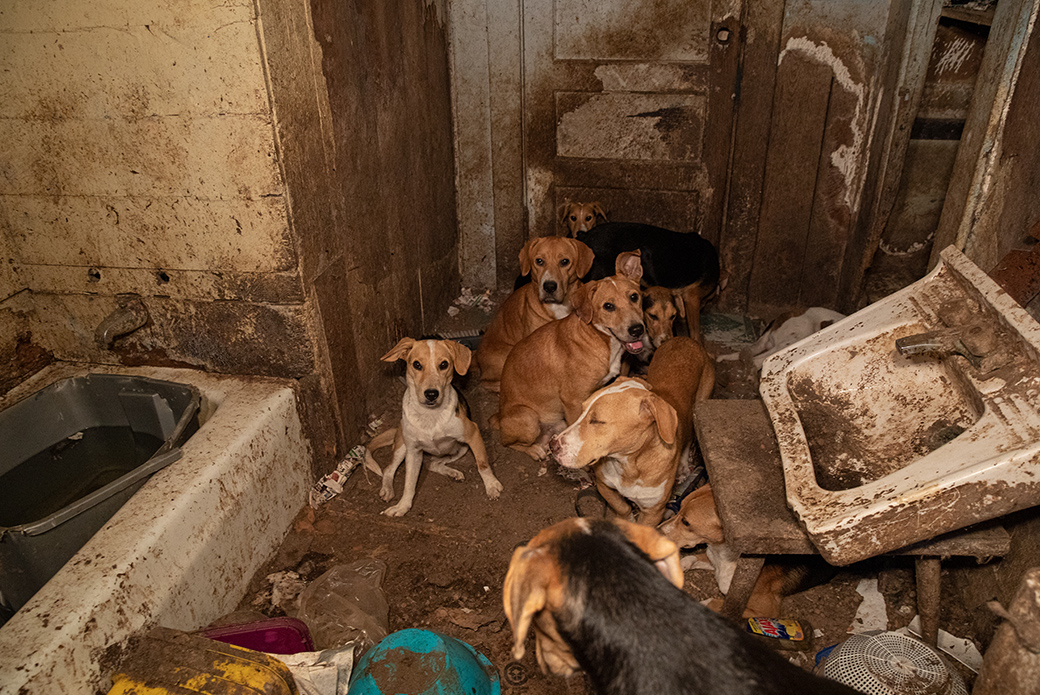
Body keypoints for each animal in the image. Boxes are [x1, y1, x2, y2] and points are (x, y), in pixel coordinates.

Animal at [366, 337, 503, 516]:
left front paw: (492, 485)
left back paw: (453, 473)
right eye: (417, 365)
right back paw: (387, 490)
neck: (430, 415)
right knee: (388, 469)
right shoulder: (413, 452)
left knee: (434, 464)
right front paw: (402, 506)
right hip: (402, 447)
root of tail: (397, 429)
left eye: (444, 364)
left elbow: (483, 465)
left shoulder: (473, 435)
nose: (431, 394)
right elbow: (409, 484)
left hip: (461, 448)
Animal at [490, 250, 644, 461]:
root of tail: (499, 417)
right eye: (608, 306)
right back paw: (534, 450)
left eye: (634, 297)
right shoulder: (573, 401)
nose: (637, 330)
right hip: (528, 418)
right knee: (508, 442)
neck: (598, 338)